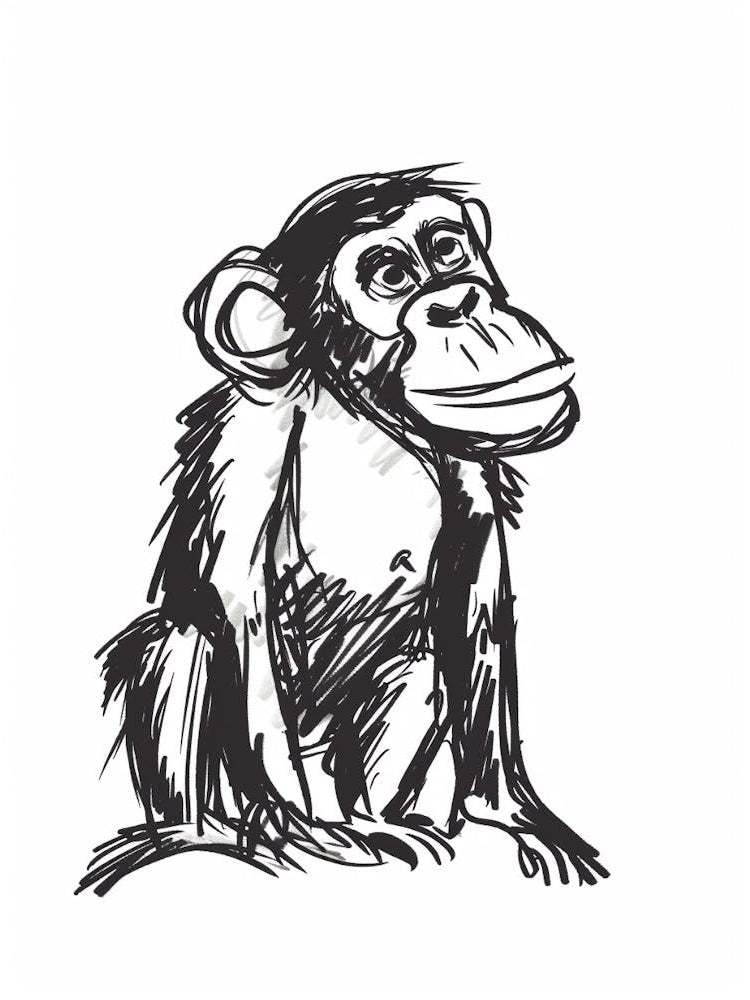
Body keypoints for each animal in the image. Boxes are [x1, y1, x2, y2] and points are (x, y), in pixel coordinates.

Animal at [78, 165, 608, 894]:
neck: (354, 405)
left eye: (448, 249)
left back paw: (385, 822)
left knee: (419, 667)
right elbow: (240, 609)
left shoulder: (469, 459)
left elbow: (473, 609)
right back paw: (222, 832)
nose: (461, 302)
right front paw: (310, 832)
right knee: (184, 641)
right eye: (390, 274)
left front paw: (511, 815)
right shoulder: (252, 436)